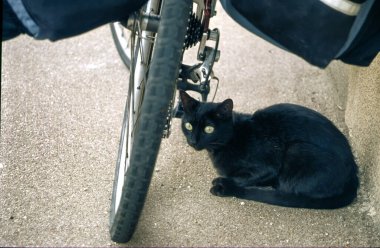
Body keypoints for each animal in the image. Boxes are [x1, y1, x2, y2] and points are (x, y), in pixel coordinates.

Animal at [180, 90, 358, 208]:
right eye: (188, 126)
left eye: (209, 129)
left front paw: (224, 183)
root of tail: (354, 173)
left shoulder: (268, 166)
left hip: (296, 149)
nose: (193, 141)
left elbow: (242, 178)